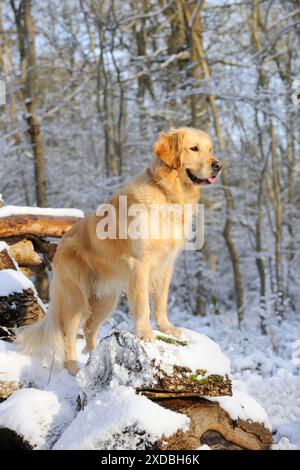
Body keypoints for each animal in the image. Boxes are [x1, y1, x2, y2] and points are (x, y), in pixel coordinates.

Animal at [16, 127, 223, 374]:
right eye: (194, 149)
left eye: (210, 149)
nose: (218, 165)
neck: (166, 193)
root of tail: (60, 245)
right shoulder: (140, 264)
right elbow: (143, 305)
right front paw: (145, 334)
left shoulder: (166, 265)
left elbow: (161, 301)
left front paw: (166, 328)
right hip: (75, 298)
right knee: (68, 334)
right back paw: (73, 368)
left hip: (107, 300)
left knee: (89, 329)